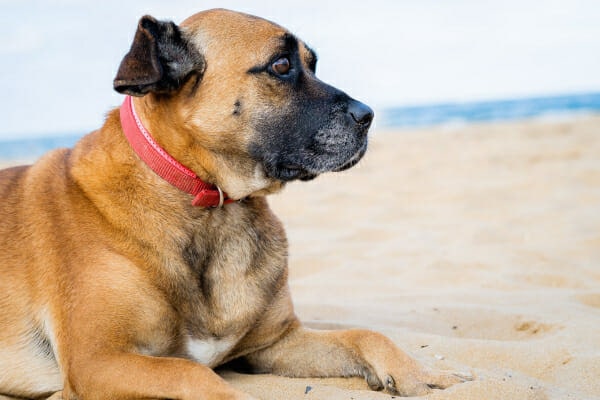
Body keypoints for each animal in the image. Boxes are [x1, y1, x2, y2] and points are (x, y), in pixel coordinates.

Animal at [0, 9, 468, 400]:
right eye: (281, 66)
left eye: (312, 64)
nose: (368, 115)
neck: (211, 204)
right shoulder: (97, 361)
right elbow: (191, 372)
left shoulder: (275, 343)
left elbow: (366, 335)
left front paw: (422, 374)